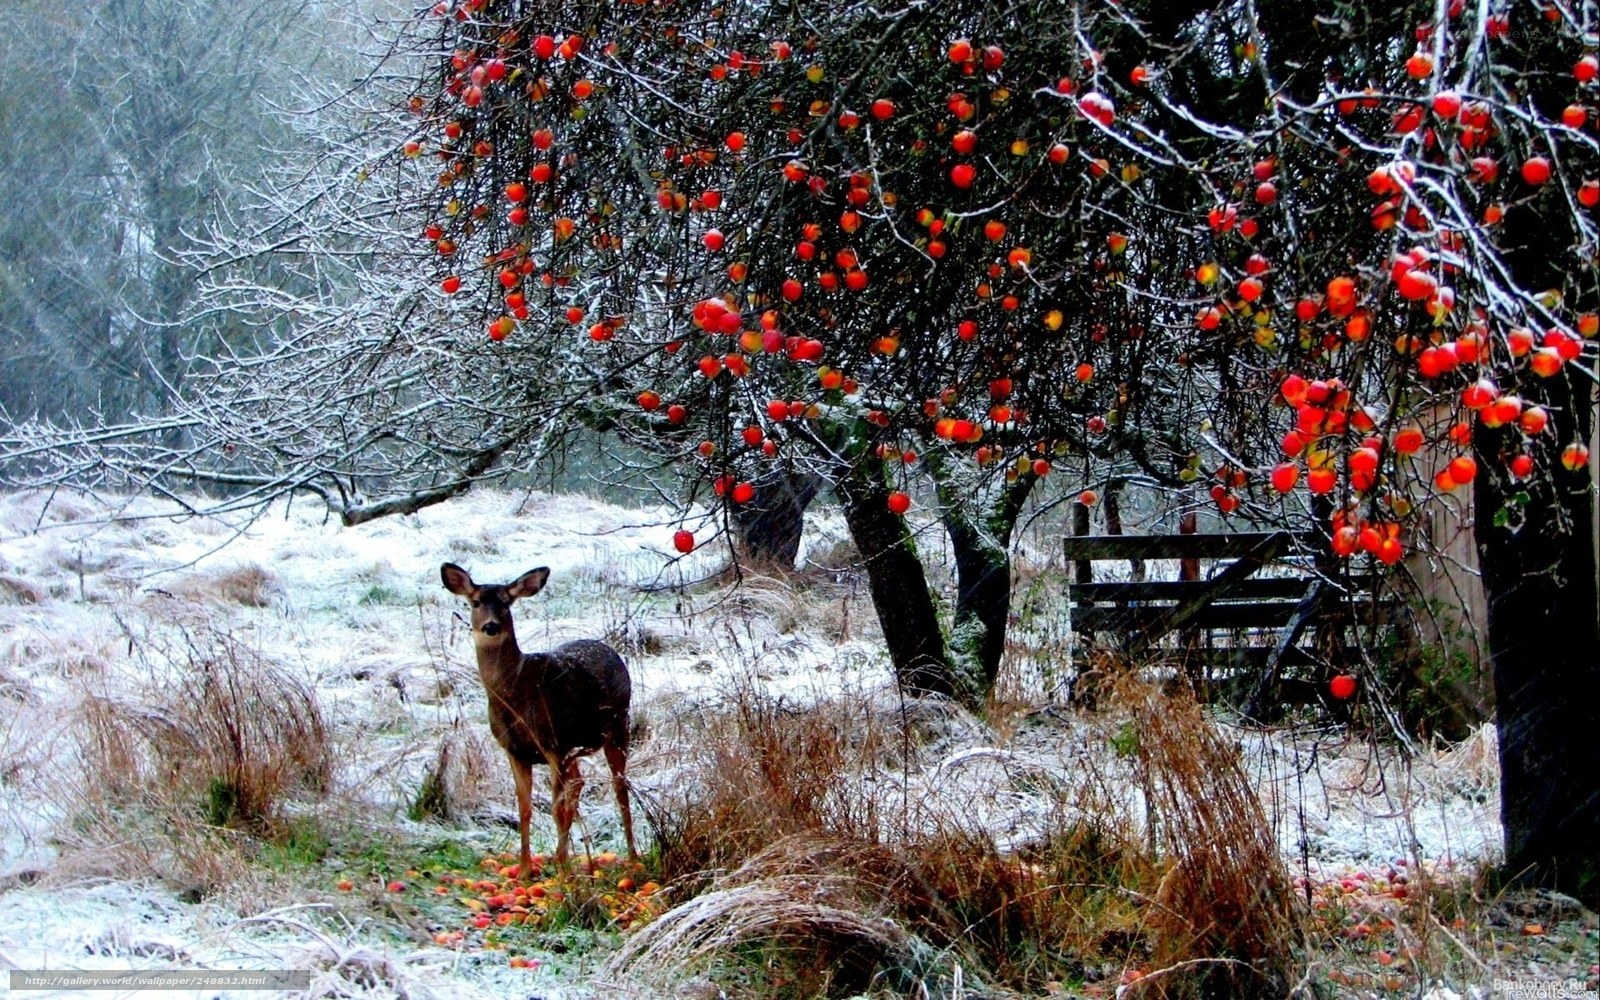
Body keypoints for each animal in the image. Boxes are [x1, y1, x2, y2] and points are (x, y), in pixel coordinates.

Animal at [441, 562, 638, 876]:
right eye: (476, 602)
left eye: (506, 603)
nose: (491, 627)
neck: (514, 695)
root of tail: (609, 650)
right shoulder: (516, 750)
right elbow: (525, 808)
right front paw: (525, 870)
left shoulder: (551, 741)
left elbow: (556, 808)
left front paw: (564, 873)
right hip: (575, 747)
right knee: (578, 782)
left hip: (619, 726)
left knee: (620, 788)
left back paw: (631, 858)